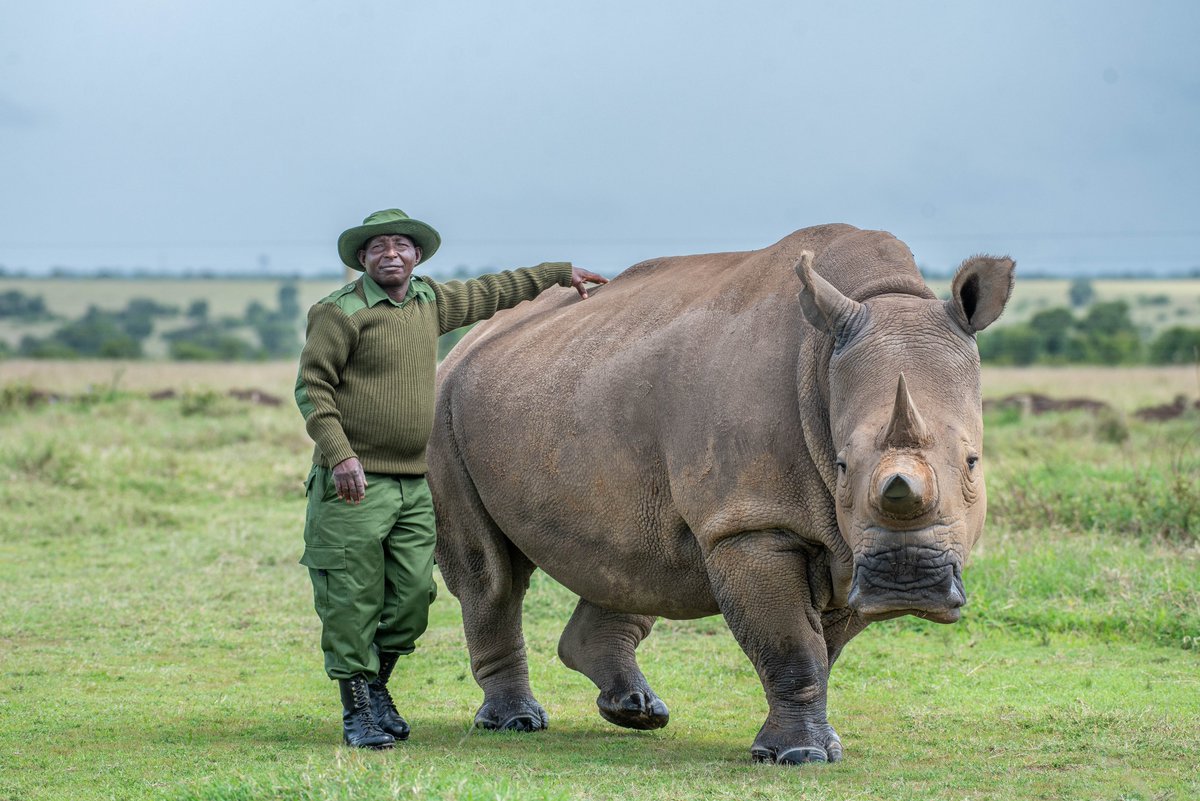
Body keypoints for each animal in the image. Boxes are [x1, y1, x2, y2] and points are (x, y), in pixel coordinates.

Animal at [427, 224, 1014, 764]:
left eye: (972, 462)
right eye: (843, 466)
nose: (905, 582)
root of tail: (468, 343)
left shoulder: (851, 545)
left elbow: (823, 647)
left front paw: (809, 746)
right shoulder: (750, 523)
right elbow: (794, 645)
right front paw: (797, 756)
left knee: (637, 560)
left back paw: (637, 712)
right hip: (442, 407)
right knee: (490, 574)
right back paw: (516, 723)